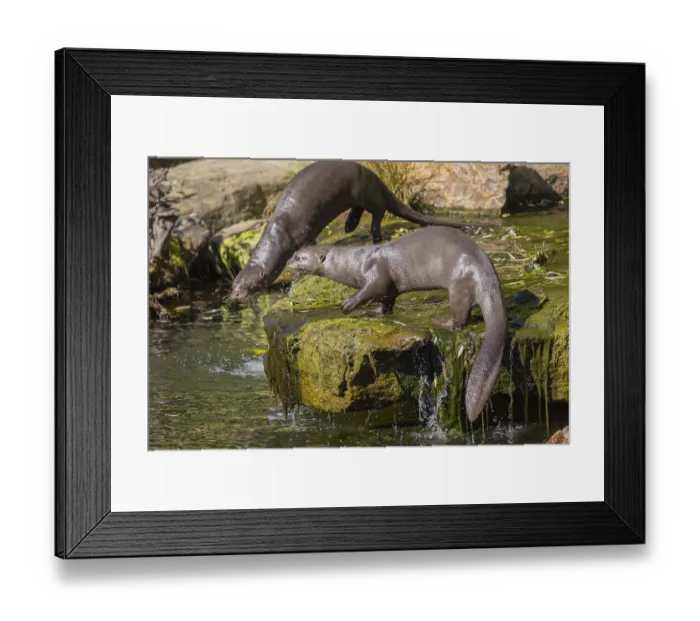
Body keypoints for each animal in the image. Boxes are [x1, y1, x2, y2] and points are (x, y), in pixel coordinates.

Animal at [229, 160, 471, 301]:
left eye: (248, 285)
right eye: (233, 285)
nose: (235, 296)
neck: (277, 235)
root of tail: (373, 176)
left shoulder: (302, 232)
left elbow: (309, 243)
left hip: (364, 191)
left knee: (379, 209)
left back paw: (374, 233)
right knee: (362, 208)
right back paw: (350, 225)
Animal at [287, 226, 508, 423]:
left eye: (299, 258)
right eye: (295, 254)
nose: (288, 262)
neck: (354, 264)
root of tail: (485, 270)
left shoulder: (376, 275)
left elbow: (370, 289)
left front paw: (349, 303)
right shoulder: (389, 290)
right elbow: (387, 302)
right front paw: (374, 312)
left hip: (459, 283)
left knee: (460, 316)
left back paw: (441, 321)